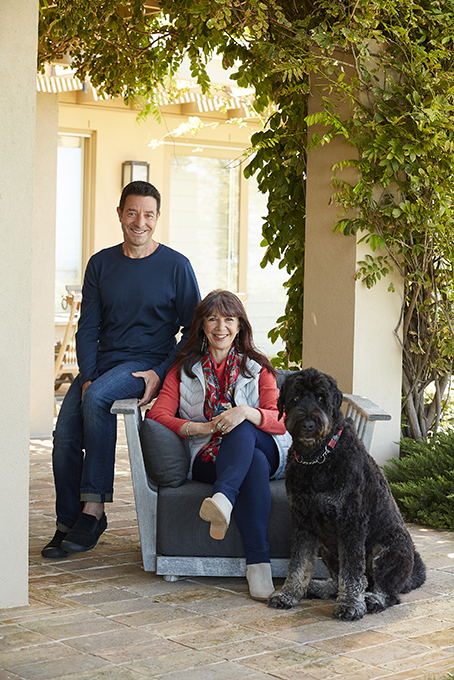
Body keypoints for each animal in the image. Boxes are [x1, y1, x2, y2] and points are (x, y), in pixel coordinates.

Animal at [270, 370, 426, 620]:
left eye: (321, 398)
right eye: (295, 397)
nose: (308, 424)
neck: (318, 459)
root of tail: (411, 574)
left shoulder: (351, 522)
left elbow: (352, 570)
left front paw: (351, 604)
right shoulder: (303, 521)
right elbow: (299, 562)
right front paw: (289, 593)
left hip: (387, 549)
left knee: (388, 592)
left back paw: (373, 599)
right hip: (326, 546)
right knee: (338, 580)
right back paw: (319, 587)